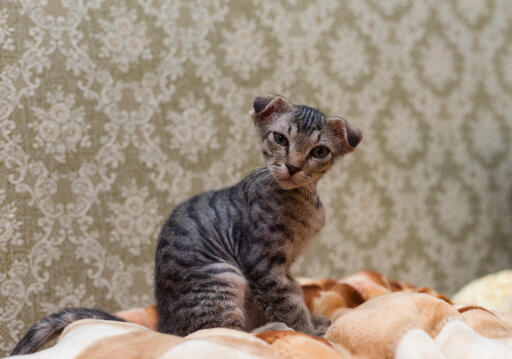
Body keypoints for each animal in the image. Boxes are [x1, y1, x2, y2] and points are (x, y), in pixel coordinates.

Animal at [8, 94, 360, 356]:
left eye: (319, 151)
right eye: (280, 138)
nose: (293, 166)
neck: (302, 199)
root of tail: (162, 327)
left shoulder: (283, 267)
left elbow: (292, 293)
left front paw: (313, 322)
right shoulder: (262, 263)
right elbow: (288, 302)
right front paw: (308, 333)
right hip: (223, 275)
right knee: (217, 332)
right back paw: (270, 330)